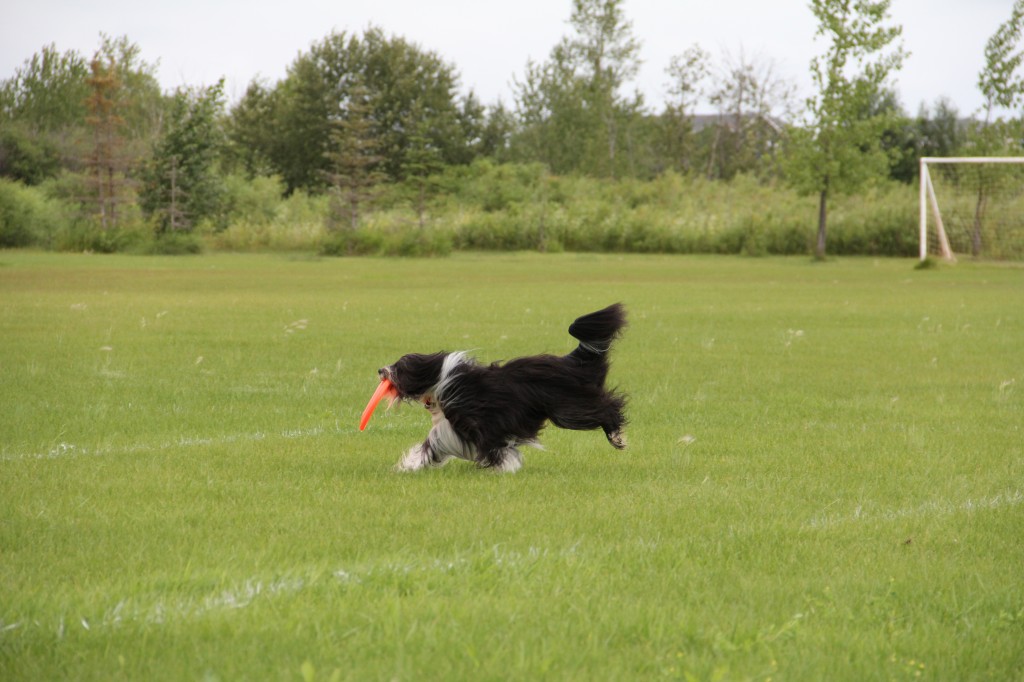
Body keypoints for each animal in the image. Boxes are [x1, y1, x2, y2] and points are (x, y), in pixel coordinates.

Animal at [368, 303, 622, 473]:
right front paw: (410, 465)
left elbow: (492, 445)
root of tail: (573, 360)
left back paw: (617, 437)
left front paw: (505, 466)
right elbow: (433, 445)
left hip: (568, 406)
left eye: (400, 367)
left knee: (610, 406)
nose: (380, 370)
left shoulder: (482, 421)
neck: (440, 378)